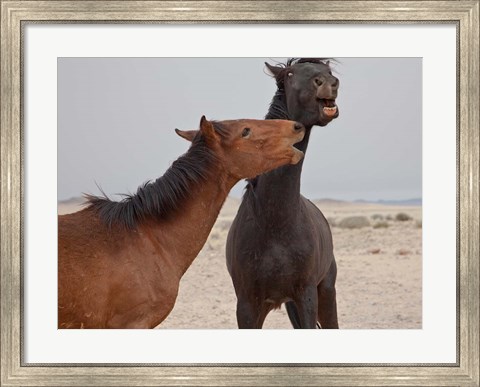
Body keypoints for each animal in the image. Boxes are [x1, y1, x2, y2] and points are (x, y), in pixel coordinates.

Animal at [226, 59, 342, 328]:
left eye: (329, 72)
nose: (328, 84)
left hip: (326, 292)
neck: (274, 224)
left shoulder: (306, 296)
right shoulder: (247, 305)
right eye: (289, 74)